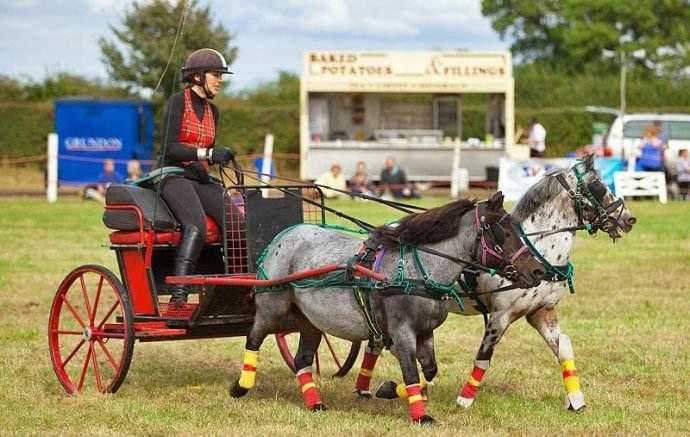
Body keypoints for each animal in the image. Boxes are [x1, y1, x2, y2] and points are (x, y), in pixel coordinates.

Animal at [230, 192, 544, 422]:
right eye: (503, 232)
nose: (538, 271)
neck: (420, 270)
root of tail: (285, 235)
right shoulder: (402, 331)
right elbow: (411, 371)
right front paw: (420, 415)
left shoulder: (425, 332)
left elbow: (429, 371)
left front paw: (388, 389)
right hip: (272, 307)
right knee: (254, 337)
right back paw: (241, 386)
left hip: (311, 321)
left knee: (302, 360)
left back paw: (314, 403)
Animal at [360, 154, 636, 412]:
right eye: (598, 186)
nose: (629, 219)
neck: (538, 249)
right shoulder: (501, 315)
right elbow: (484, 356)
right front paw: (464, 399)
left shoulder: (541, 312)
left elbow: (564, 349)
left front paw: (576, 400)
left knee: (376, 342)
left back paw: (365, 387)